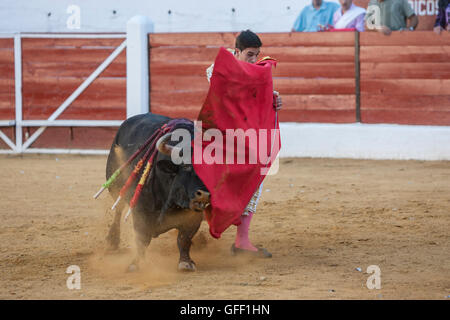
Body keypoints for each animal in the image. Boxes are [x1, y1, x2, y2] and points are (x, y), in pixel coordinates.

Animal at [105, 114, 211, 272]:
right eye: (186, 166)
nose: (203, 195)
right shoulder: (140, 211)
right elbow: (142, 239)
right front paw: (135, 264)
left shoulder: (193, 216)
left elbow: (184, 239)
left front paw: (186, 262)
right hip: (116, 185)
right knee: (118, 208)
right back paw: (112, 240)